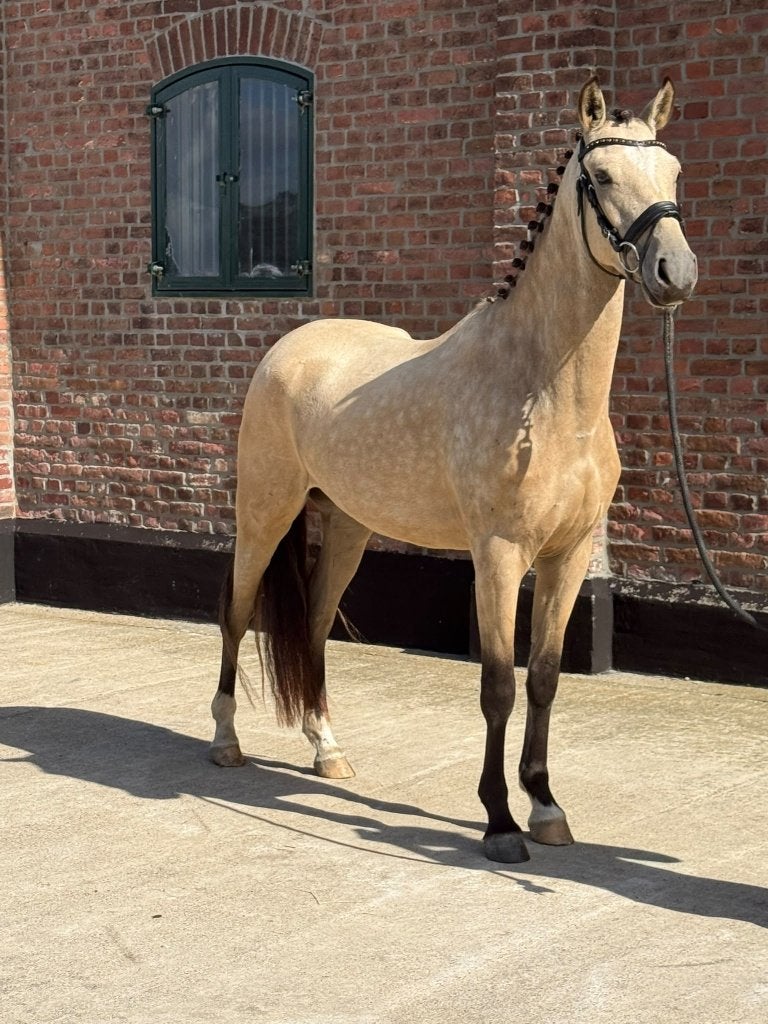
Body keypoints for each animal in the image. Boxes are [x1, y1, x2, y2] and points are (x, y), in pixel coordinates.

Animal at [210, 77, 698, 863]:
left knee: (312, 626)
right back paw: (225, 740)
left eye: (674, 173)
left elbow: (545, 678)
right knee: (236, 612)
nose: (673, 273)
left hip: (347, 526)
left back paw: (327, 750)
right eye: (599, 177)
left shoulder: (568, 557)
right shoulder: (497, 556)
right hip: (265, 511)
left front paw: (547, 807)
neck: (544, 390)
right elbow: (498, 684)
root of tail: (287, 348)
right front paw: (499, 822)